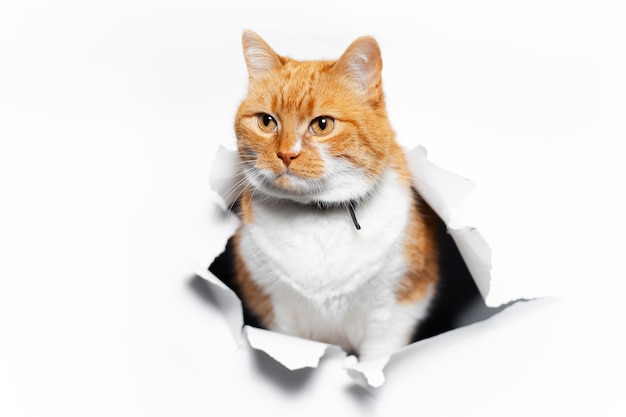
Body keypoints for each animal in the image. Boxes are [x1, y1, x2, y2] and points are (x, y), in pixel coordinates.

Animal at [227, 30, 436, 360]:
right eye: (266, 121)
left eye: (322, 124)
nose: (286, 154)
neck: (319, 215)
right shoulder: (278, 308)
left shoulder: (394, 309)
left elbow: (377, 357)